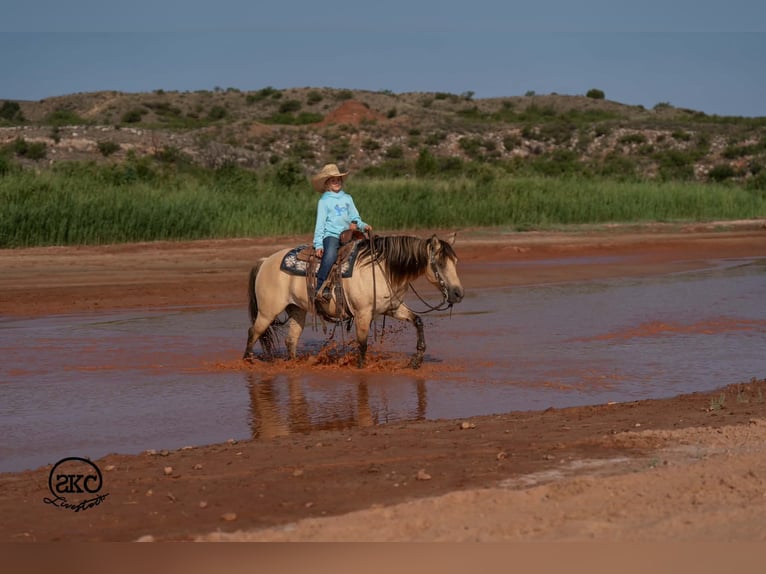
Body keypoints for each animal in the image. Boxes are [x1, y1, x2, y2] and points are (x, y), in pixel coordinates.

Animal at [242, 234, 465, 368]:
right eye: (440, 263)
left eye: (455, 261)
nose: (458, 294)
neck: (381, 269)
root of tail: (265, 261)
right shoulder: (363, 314)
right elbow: (362, 343)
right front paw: (361, 368)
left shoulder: (392, 308)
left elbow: (418, 321)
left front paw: (416, 360)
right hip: (268, 311)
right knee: (253, 332)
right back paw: (248, 362)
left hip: (296, 309)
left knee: (291, 340)